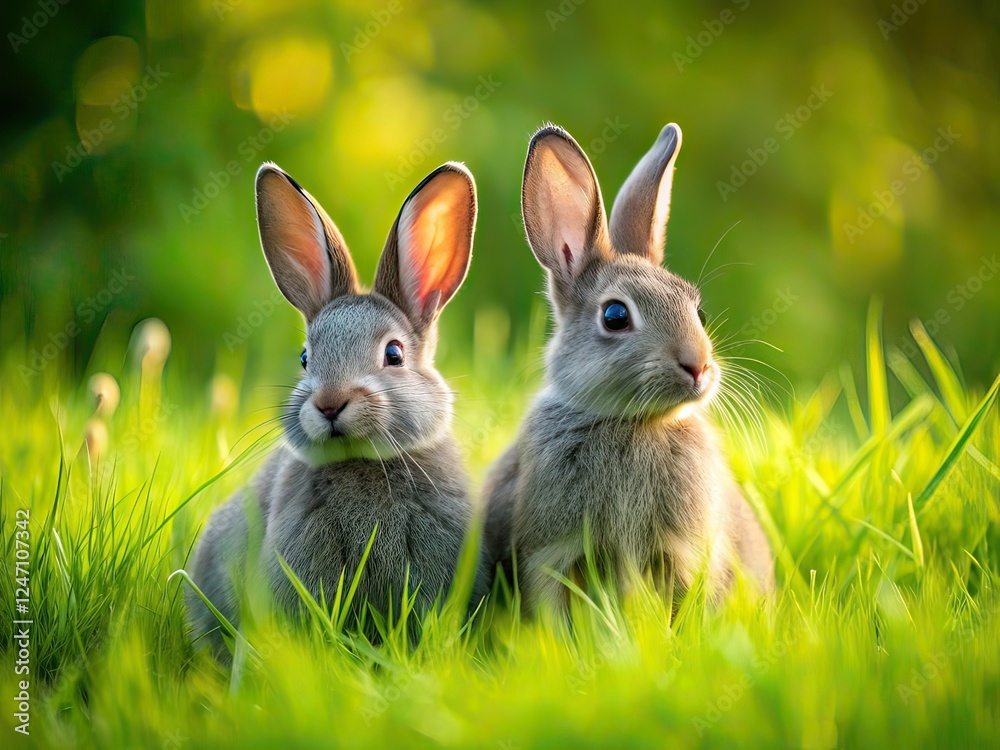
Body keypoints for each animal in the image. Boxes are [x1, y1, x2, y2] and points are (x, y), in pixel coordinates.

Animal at [483, 123, 774, 613]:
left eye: (698, 310)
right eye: (615, 315)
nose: (698, 366)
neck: (636, 423)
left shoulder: (683, 554)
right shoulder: (551, 555)